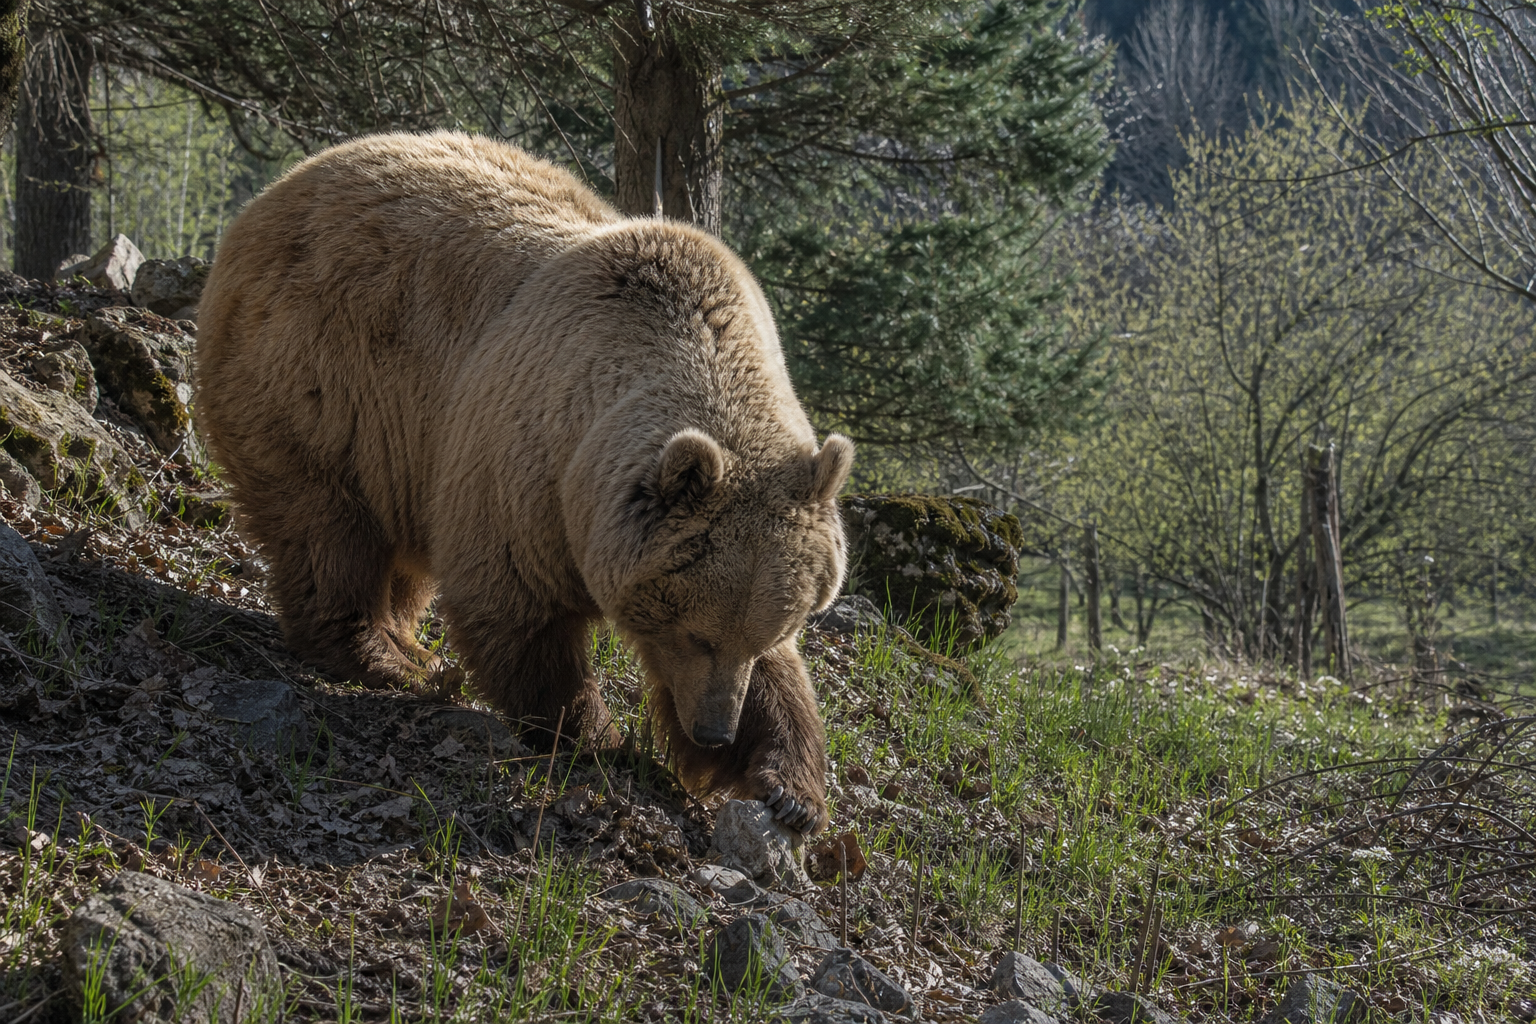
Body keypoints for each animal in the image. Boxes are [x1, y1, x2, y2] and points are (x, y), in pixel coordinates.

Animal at [195, 131, 853, 833]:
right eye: (697, 634)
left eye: (766, 633)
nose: (713, 732)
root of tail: (288, 183)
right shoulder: (527, 462)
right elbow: (517, 608)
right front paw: (598, 738)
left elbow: (780, 677)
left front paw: (790, 792)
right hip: (323, 379)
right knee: (327, 526)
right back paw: (384, 658)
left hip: (407, 450)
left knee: (401, 554)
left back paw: (408, 645)